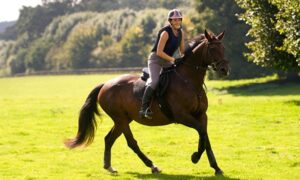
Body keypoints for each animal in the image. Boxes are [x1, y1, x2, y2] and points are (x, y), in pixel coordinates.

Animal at [65, 30, 230, 175]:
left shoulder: (202, 115)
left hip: (123, 120)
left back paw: (109, 167)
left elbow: (205, 136)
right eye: (212, 49)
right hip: (121, 119)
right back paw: (152, 165)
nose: (224, 69)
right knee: (131, 142)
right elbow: (201, 132)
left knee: (109, 139)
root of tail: (105, 84)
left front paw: (216, 168)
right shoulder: (182, 116)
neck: (189, 81)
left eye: (223, 48)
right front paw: (195, 157)